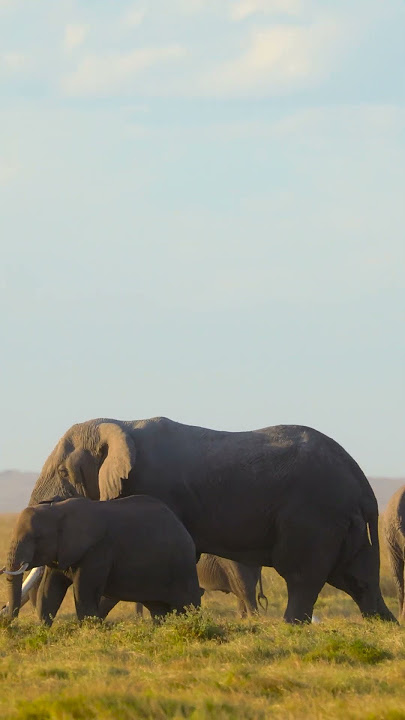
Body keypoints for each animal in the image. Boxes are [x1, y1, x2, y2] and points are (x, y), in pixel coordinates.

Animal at [1, 495, 201, 624]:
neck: (58, 510)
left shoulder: (97, 550)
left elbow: (84, 594)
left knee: (187, 605)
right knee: (159, 610)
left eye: (36, 538)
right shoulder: (62, 553)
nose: (11, 622)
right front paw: (44, 632)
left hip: (182, 567)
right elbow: (49, 591)